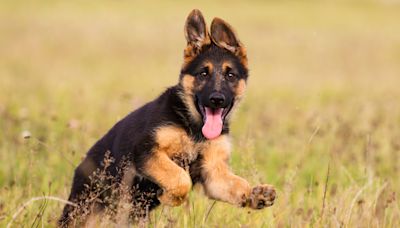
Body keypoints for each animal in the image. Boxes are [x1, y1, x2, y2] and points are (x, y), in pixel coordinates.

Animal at [59, 8, 276, 226]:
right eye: (203, 74)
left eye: (230, 76)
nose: (217, 99)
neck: (194, 129)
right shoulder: (145, 151)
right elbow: (181, 179)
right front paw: (170, 197)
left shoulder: (213, 174)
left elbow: (237, 184)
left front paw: (256, 194)